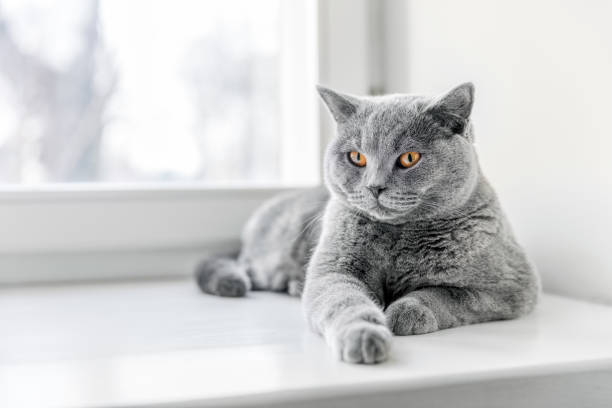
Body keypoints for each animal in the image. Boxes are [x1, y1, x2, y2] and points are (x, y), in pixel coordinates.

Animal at [196, 82, 540, 364]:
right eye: (357, 157)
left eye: (409, 158)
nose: (375, 187)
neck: (399, 237)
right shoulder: (333, 271)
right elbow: (345, 302)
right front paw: (365, 336)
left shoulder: (511, 287)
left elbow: (449, 294)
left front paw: (405, 311)